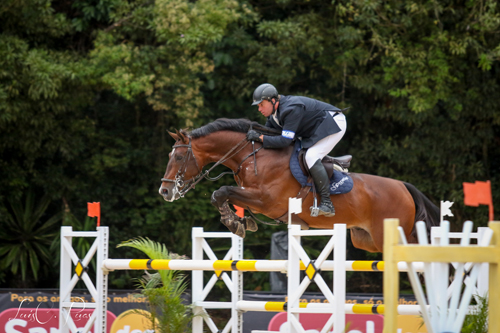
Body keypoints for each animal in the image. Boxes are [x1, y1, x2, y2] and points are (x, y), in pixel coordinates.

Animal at [158, 118, 440, 250]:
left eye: (179, 157)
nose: (165, 190)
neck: (252, 155)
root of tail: (403, 186)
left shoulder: (266, 200)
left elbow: (221, 192)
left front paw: (233, 223)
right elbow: (225, 196)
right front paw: (241, 221)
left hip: (388, 235)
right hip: (367, 239)